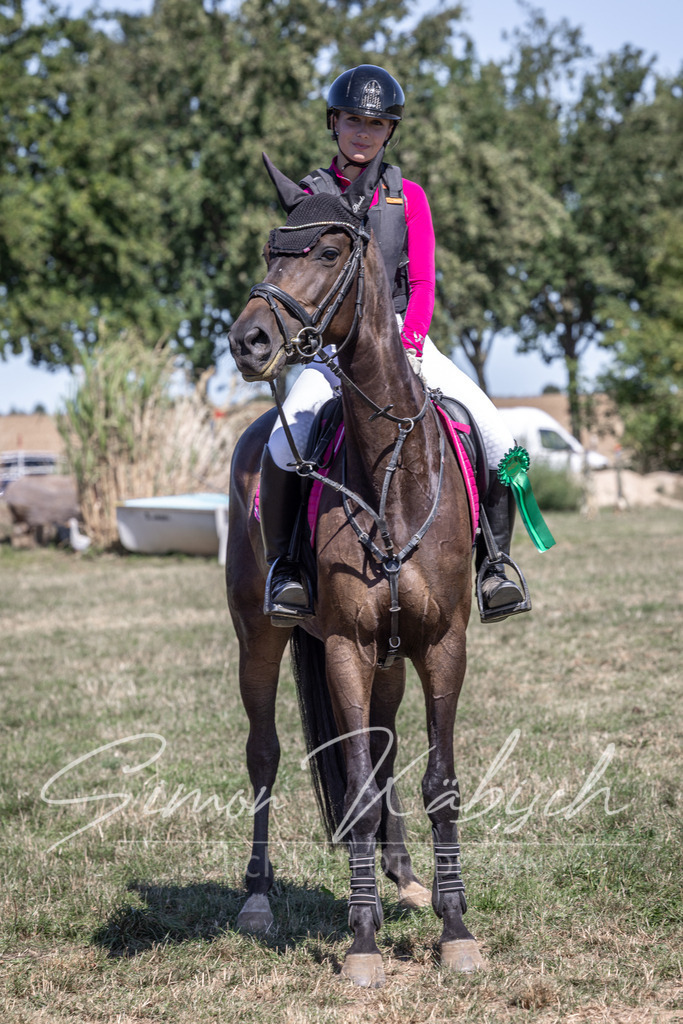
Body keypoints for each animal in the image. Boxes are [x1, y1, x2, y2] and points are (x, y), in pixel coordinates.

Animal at [226, 147, 484, 988]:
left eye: (330, 250)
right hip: (261, 637)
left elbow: (437, 782)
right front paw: (363, 940)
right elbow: (359, 789)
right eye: (271, 249)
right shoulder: (342, 643)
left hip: (391, 657)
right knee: (266, 753)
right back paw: (257, 897)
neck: (389, 475)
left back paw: (403, 879)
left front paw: (454, 926)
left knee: (387, 743)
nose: (248, 341)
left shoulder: (441, 644)